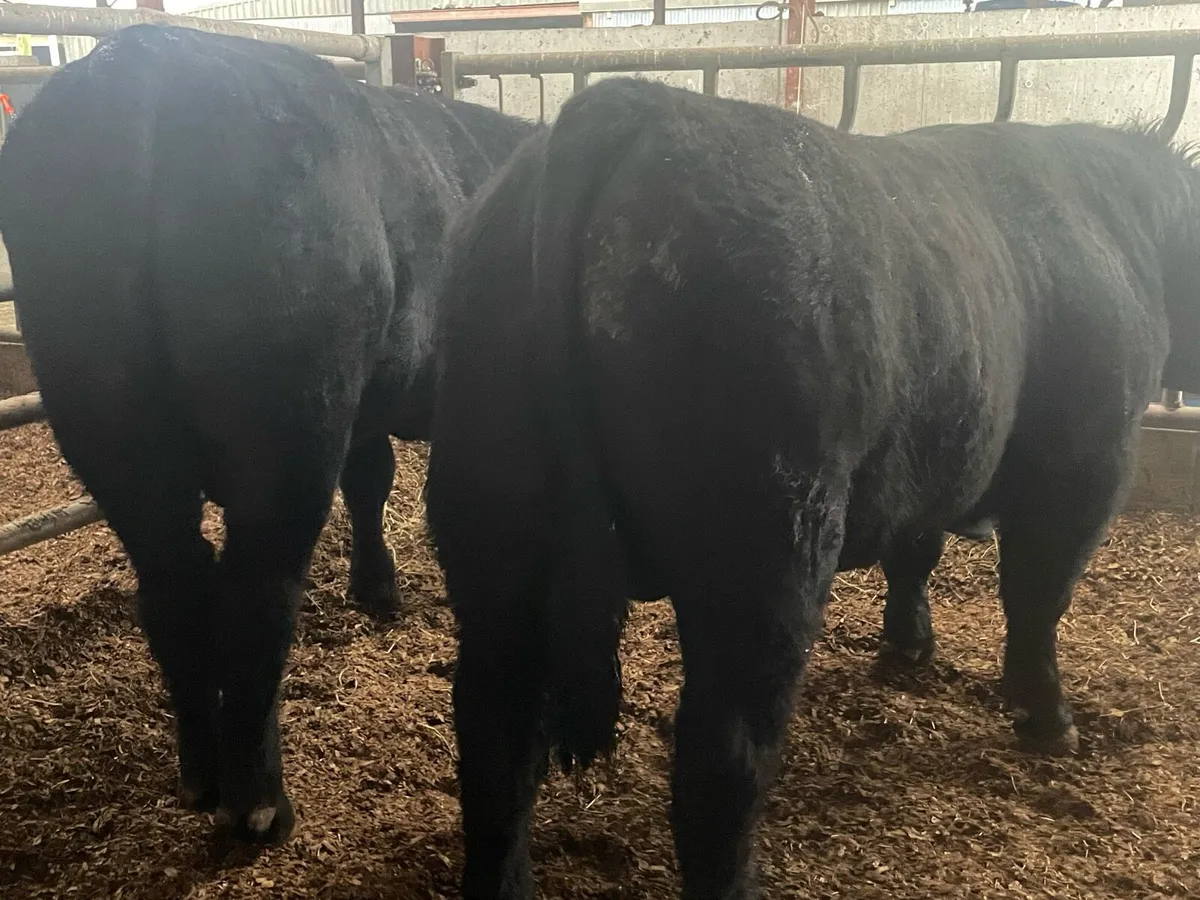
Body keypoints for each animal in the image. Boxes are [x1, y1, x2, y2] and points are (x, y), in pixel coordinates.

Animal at [0, 24, 534, 844]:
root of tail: (141, 65)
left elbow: (371, 480)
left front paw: (377, 587)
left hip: (111, 421)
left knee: (175, 579)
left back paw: (202, 776)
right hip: (288, 427)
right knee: (260, 590)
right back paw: (259, 804)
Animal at [425, 77, 1200, 899]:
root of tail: (633, 103)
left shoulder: (928, 455)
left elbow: (915, 552)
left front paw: (908, 647)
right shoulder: (1086, 466)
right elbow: (1037, 600)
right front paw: (1047, 716)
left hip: (494, 530)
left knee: (496, 732)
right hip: (768, 552)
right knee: (722, 757)